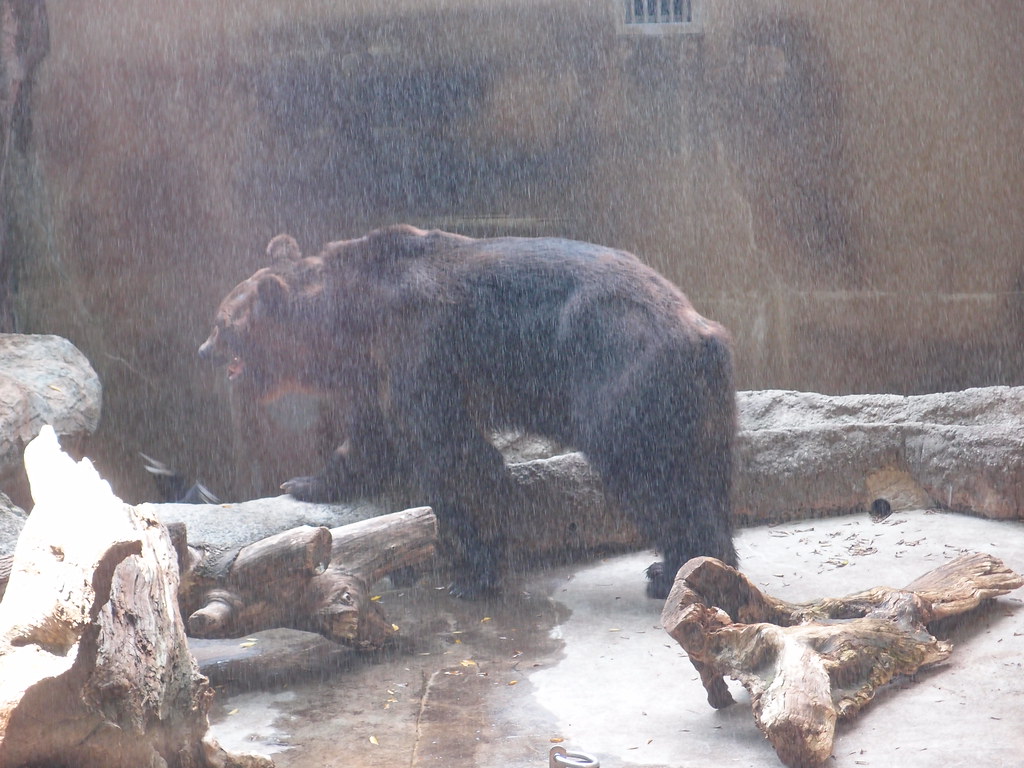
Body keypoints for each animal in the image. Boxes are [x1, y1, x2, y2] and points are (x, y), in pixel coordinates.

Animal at [199, 225, 737, 598]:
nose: (203, 350)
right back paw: (687, 567)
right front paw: (306, 481)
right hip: (700, 405)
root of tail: (701, 328)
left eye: (223, 323)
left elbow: (451, 455)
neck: (352, 322)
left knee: (650, 474)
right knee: (703, 474)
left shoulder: (422, 347)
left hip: (620, 375)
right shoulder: (378, 373)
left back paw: (677, 572)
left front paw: (473, 572)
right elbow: (371, 435)